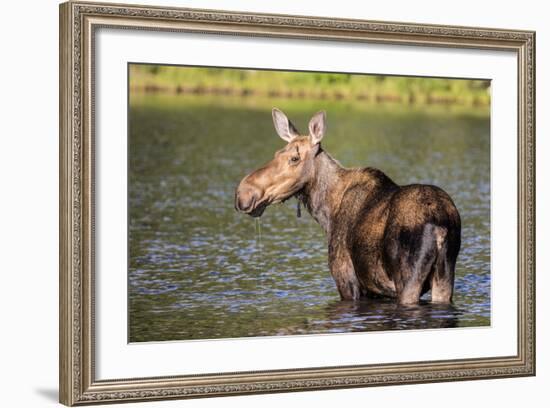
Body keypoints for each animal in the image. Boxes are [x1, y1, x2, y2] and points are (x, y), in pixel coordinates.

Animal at [235, 108, 464, 302]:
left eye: (294, 158)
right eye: (276, 154)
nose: (243, 193)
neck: (326, 212)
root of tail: (441, 226)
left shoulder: (346, 280)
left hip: (408, 280)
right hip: (444, 278)